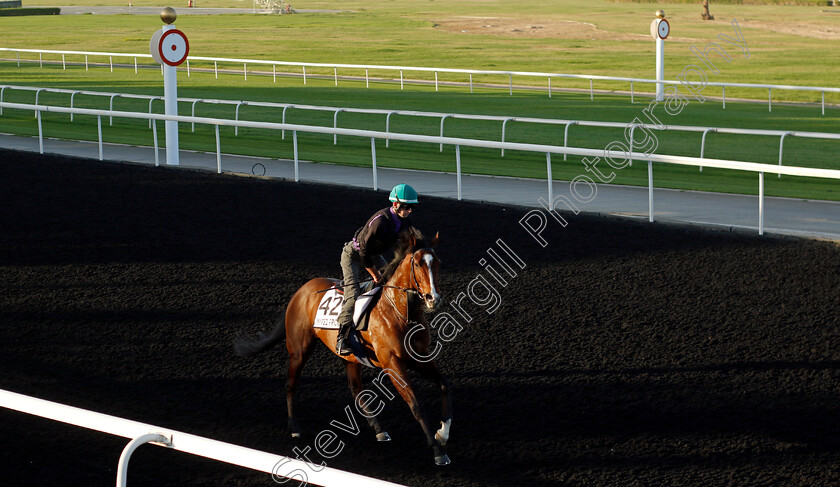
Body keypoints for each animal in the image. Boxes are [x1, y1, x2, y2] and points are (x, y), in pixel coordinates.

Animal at [233, 231, 452, 468]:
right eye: (418, 263)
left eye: (437, 262)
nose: (434, 298)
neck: (400, 311)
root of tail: (300, 291)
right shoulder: (392, 363)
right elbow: (416, 405)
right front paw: (438, 451)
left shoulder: (418, 357)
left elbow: (443, 384)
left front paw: (443, 433)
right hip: (299, 350)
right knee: (291, 384)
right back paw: (294, 428)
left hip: (351, 357)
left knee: (355, 389)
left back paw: (379, 430)